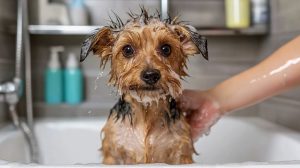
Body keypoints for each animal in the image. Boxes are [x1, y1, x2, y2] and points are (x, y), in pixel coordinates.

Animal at [79, 7, 209, 164]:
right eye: (127, 50)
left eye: (166, 48)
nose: (151, 75)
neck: (146, 111)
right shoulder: (113, 152)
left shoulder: (181, 152)